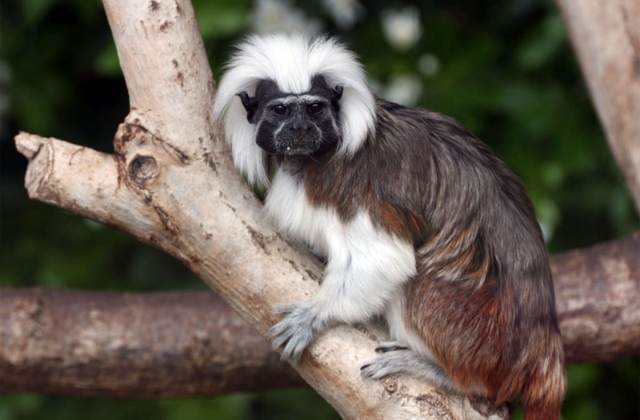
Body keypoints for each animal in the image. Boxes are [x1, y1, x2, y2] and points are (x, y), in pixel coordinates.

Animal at [212, 34, 568, 420]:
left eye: (314, 109)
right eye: (281, 110)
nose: (300, 129)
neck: (314, 158)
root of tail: (543, 352)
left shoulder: (361, 185)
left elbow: (385, 258)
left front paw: (318, 314)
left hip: (480, 335)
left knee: (419, 290)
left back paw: (445, 373)